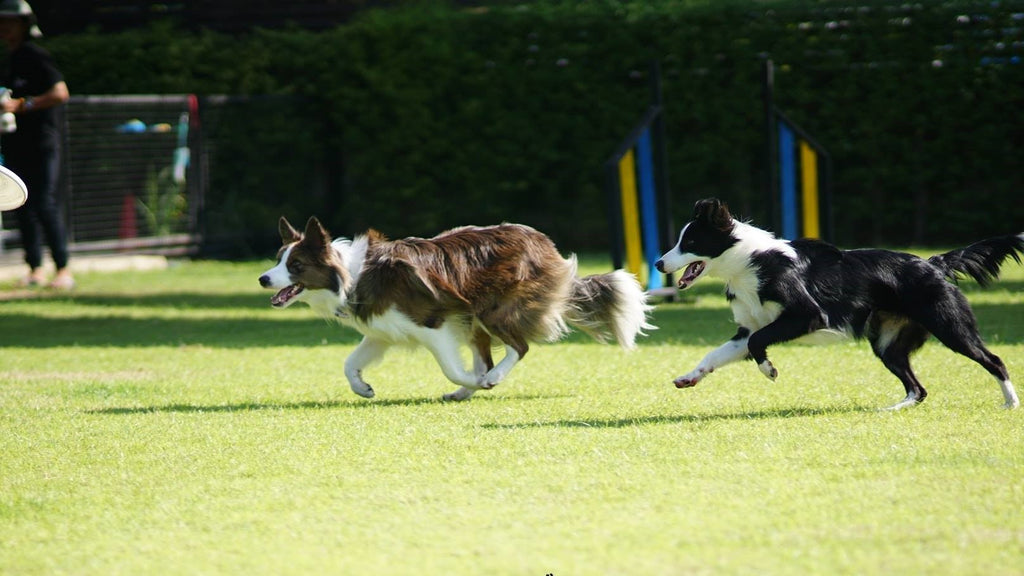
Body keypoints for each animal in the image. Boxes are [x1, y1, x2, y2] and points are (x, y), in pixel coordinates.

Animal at [260, 215, 651, 399]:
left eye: (295, 266)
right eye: (278, 259)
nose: (263, 279)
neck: (352, 273)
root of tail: (544, 242)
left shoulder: (432, 324)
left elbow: (451, 368)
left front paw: (477, 383)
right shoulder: (382, 331)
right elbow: (349, 363)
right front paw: (363, 388)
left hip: (491, 310)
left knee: (517, 348)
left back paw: (489, 379)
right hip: (475, 319)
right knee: (490, 354)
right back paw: (466, 392)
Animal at [659, 196, 1019, 407]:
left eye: (690, 243)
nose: (660, 264)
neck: (749, 262)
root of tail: (933, 262)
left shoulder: (806, 315)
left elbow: (760, 342)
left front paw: (769, 370)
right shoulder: (746, 328)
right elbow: (717, 353)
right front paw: (690, 377)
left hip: (949, 325)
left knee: (994, 360)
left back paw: (1011, 402)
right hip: (888, 344)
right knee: (918, 389)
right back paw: (892, 409)